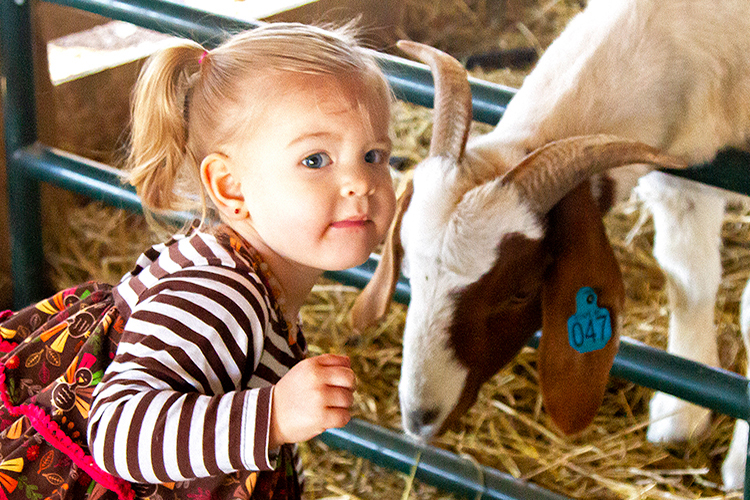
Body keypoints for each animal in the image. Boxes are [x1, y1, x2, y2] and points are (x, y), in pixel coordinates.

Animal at [356, 0, 750, 490]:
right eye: (408, 271)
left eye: (521, 291)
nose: (419, 418)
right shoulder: (682, 180)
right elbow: (687, 281)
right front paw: (679, 416)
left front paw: (741, 463)